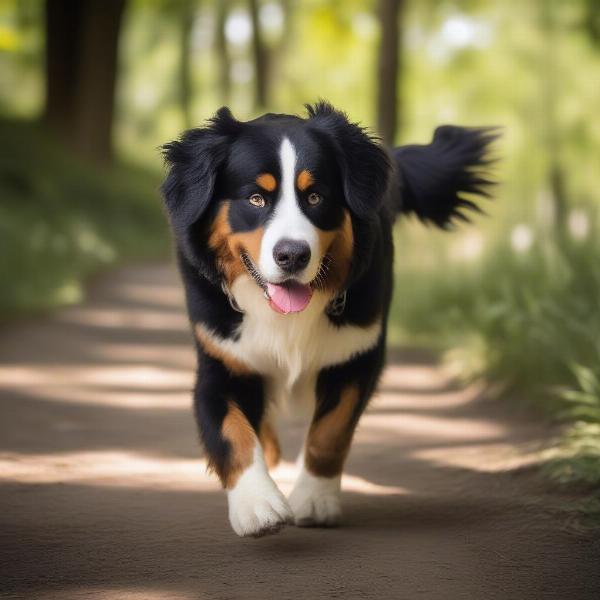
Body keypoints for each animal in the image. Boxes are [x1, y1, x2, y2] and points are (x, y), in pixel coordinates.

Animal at [161, 101, 496, 536]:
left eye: (316, 196)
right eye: (256, 198)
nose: (292, 254)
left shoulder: (356, 357)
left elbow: (329, 433)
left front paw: (315, 500)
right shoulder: (221, 362)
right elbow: (232, 433)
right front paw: (257, 505)